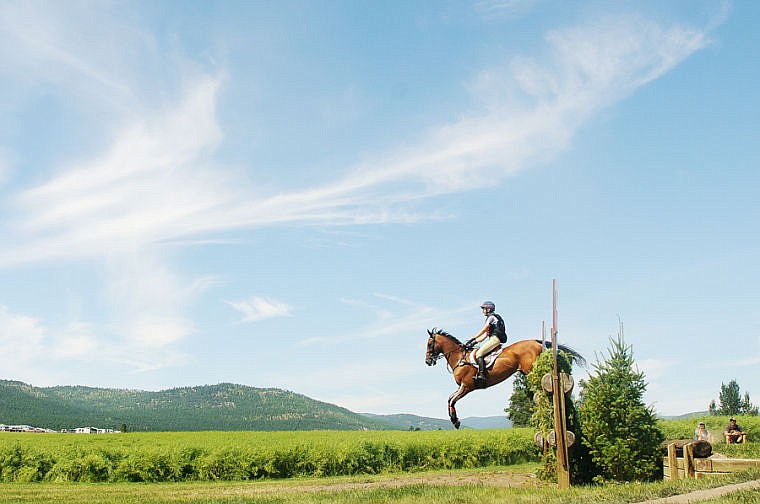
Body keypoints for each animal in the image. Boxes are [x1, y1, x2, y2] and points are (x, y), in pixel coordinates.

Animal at [424, 326, 584, 430]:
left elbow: (453, 400)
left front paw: (455, 421)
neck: (460, 358)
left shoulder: (467, 387)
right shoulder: (461, 387)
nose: (427, 361)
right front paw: (454, 420)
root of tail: (536, 342)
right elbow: (449, 399)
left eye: (429, 344)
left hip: (531, 369)